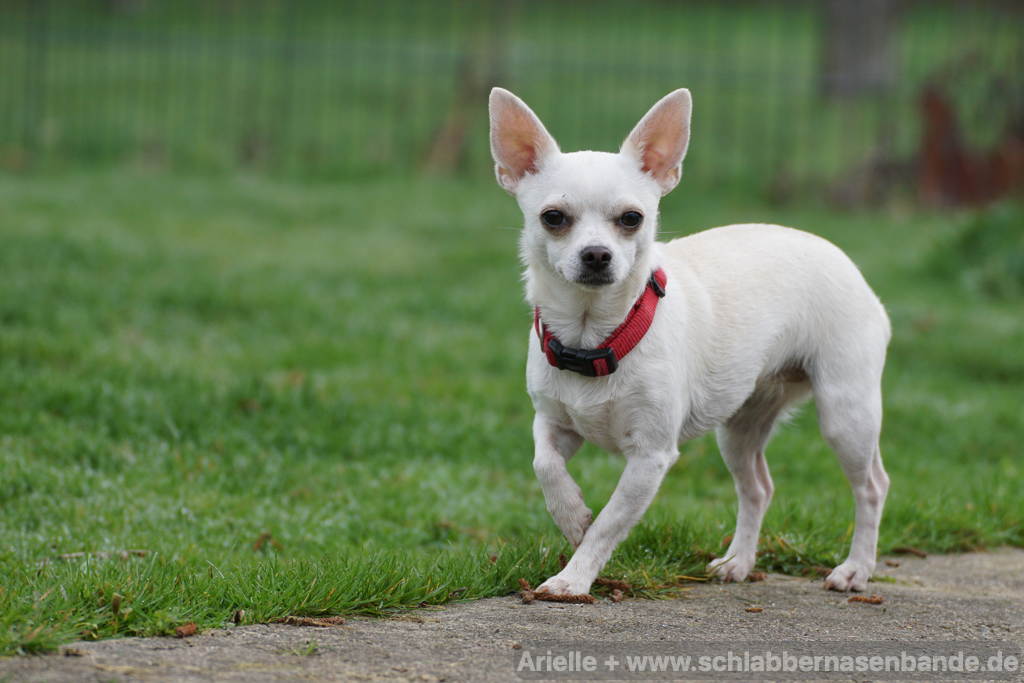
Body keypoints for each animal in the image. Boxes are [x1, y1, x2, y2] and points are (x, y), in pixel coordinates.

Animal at [487, 88, 888, 593]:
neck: (595, 337)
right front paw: (572, 516)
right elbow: (545, 466)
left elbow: (609, 523)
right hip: (740, 427)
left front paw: (573, 578)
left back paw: (856, 568)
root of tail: (841, 257)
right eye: (553, 218)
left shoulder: (650, 457)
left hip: (844, 413)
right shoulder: (554, 424)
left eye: (632, 219)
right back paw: (738, 561)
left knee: (871, 487)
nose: (596, 254)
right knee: (758, 487)